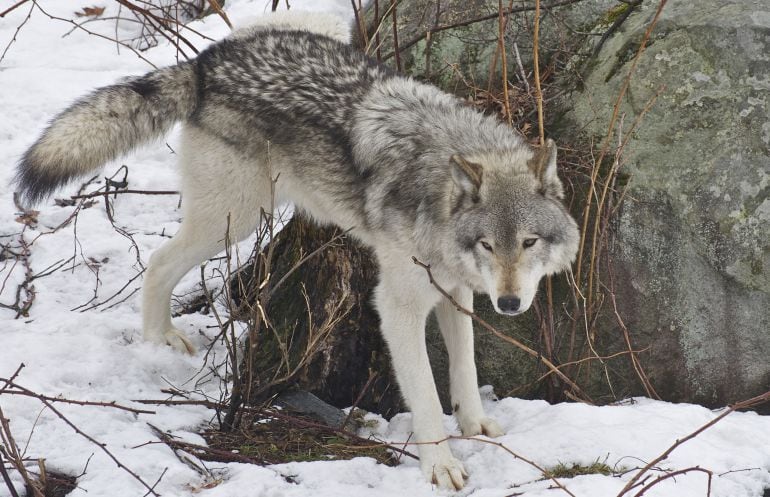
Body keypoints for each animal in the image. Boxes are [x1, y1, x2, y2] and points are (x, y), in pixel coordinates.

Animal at [13, 9, 576, 490]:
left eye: (528, 243)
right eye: (488, 244)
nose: (509, 304)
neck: (438, 182)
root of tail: (206, 63)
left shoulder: (455, 289)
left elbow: (464, 368)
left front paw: (476, 424)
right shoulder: (398, 306)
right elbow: (425, 394)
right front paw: (441, 466)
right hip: (233, 219)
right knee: (157, 262)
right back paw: (159, 340)